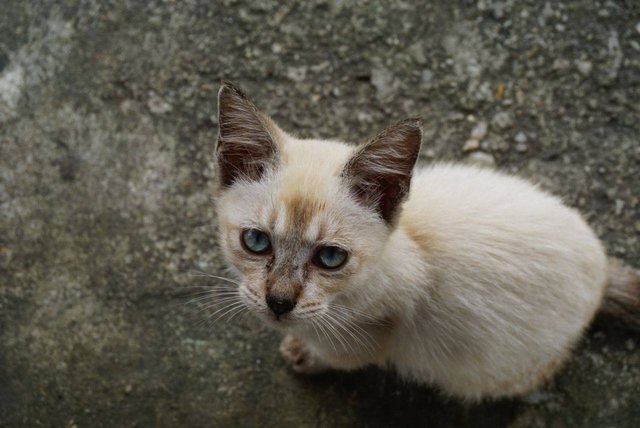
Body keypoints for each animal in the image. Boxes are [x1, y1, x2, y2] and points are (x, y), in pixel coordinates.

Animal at [214, 82, 640, 400]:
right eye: (256, 241)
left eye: (331, 257)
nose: (278, 303)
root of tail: (603, 275)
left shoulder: (362, 342)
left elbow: (333, 354)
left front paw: (302, 352)